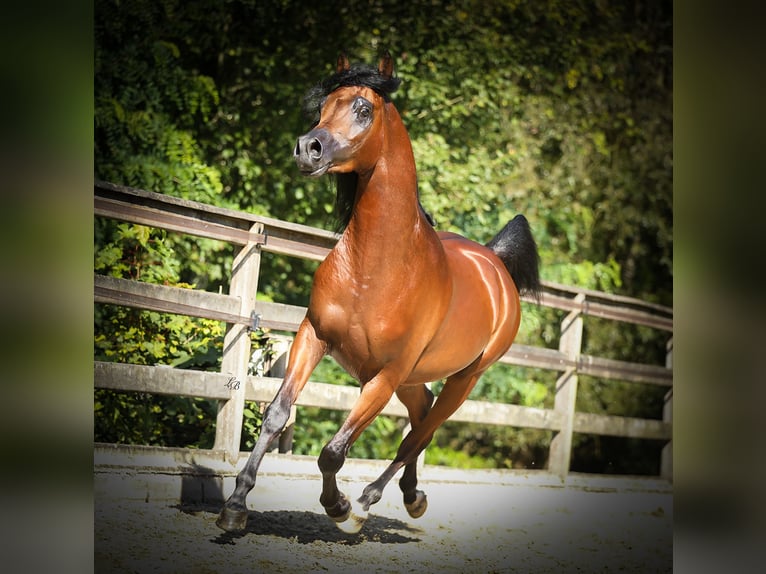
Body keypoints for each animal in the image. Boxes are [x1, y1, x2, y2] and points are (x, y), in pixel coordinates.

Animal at [216, 51, 540, 536]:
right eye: (323, 106)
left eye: (363, 109)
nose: (307, 148)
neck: (375, 269)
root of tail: (495, 264)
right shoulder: (313, 336)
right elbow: (276, 415)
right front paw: (235, 506)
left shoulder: (383, 377)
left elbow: (333, 451)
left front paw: (341, 509)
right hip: (414, 379)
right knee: (421, 416)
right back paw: (411, 495)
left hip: (462, 379)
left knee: (420, 434)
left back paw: (371, 501)